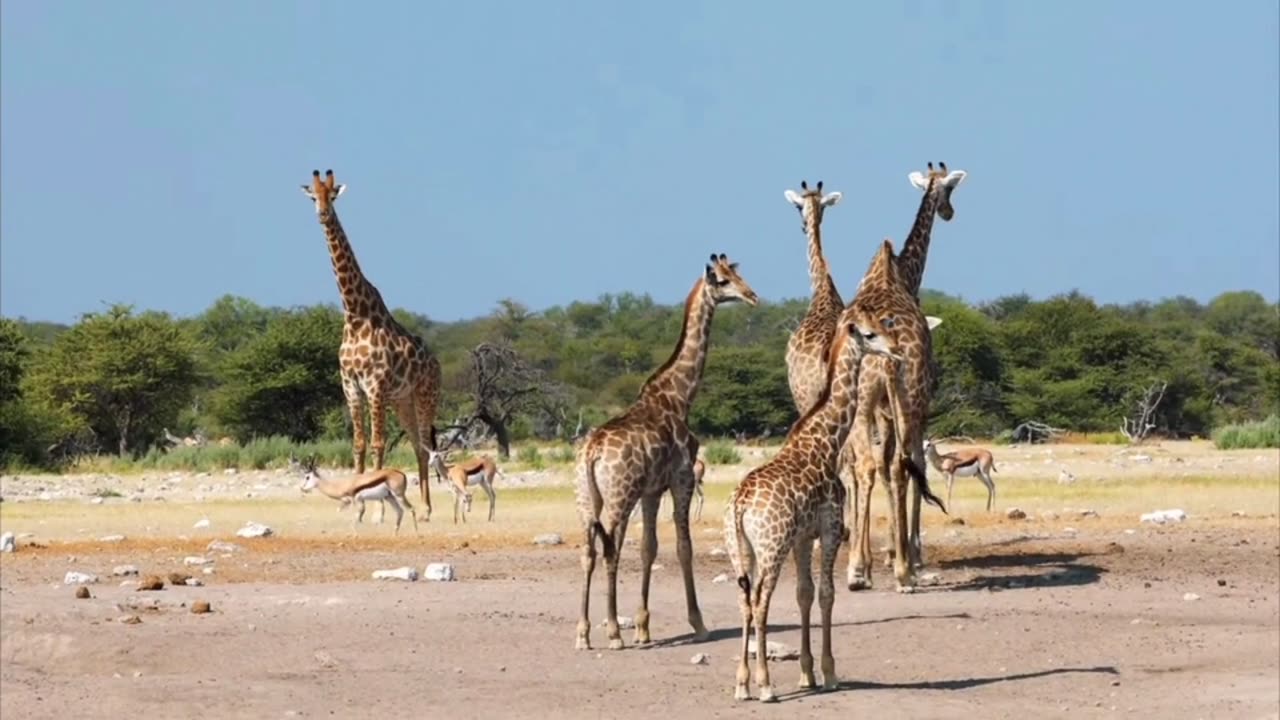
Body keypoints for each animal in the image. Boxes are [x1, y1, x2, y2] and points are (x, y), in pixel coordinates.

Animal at [300, 170, 445, 517]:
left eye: (333, 196)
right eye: (313, 197)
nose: (323, 214)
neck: (355, 315)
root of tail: (437, 363)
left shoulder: (375, 385)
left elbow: (378, 443)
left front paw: (378, 504)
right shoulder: (351, 386)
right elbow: (359, 444)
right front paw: (351, 498)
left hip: (425, 396)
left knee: (426, 445)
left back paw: (427, 508)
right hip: (402, 401)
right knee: (418, 446)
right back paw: (424, 507)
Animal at [573, 253, 757, 650]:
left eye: (737, 273)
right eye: (722, 281)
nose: (752, 296)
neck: (680, 395)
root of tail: (592, 452)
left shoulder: (652, 491)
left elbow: (649, 548)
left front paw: (643, 627)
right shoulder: (682, 479)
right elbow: (683, 547)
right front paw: (698, 623)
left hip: (587, 499)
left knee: (589, 552)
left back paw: (583, 633)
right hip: (619, 497)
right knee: (610, 549)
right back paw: (612, 632)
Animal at [721, 311, 921, 696]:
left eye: (884, 327)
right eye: (870, 334)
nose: (895, 349)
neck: (826, 441)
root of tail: (739, 506)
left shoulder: (802, 537)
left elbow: (804, 593)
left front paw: (807, 673)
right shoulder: (830, 530)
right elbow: (827, 593)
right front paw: (829, 674)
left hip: (740, 550)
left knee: (743, 601)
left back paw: (741, 683)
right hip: (771, 548)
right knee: (761, 601)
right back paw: (765, 685)